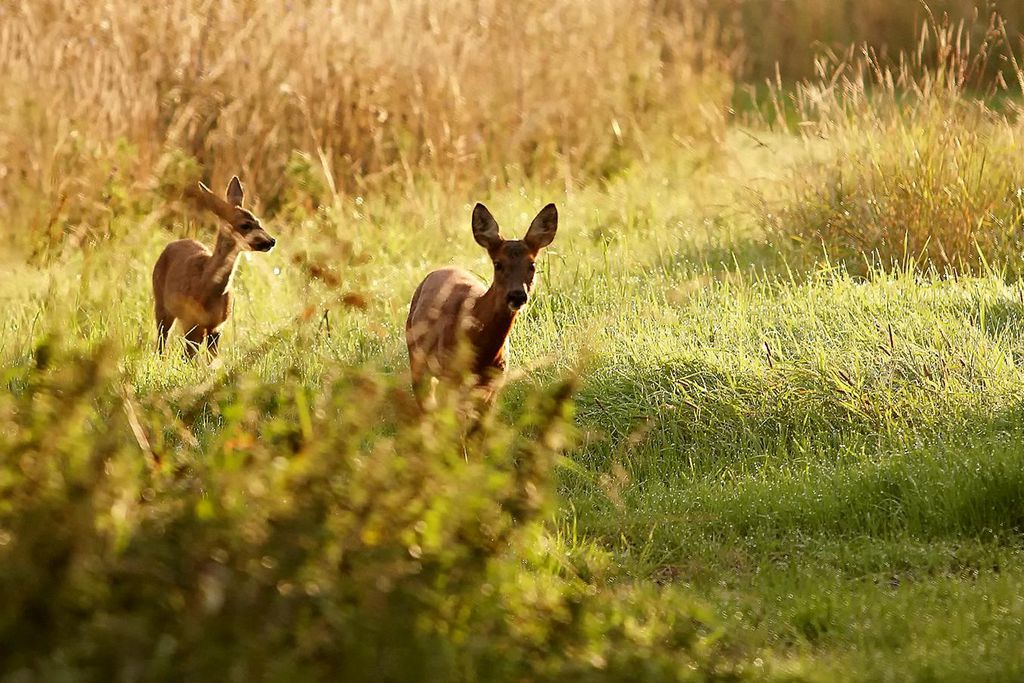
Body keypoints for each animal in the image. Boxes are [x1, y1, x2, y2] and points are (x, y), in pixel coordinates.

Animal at [151, 175, 276, 358]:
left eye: (258, 221)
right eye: (245, 225)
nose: (271, 241)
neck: (207, 287)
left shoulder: (218, 326)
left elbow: (212, 359)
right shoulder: (191, 321)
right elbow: (189, 357)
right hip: (160, 304)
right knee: (161, 342)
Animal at [401, 201, 561, 405]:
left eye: (532, 264)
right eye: (498, 264)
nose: (517, 295)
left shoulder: (494, 381)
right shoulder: (449, 374)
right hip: (416, 356)